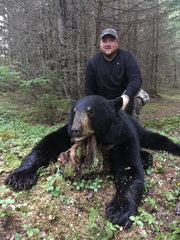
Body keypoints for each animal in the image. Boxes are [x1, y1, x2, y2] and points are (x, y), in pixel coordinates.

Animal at [4, 95, 179, 229]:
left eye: (91, 111)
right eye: (74, 112)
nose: (75, 130)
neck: (100, 138)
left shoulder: (123, 137)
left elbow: (130, 169)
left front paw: (119, 210)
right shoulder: (66, 136)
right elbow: (44, 146)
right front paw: (20, 177)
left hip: (137, 129)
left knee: (154, 138)